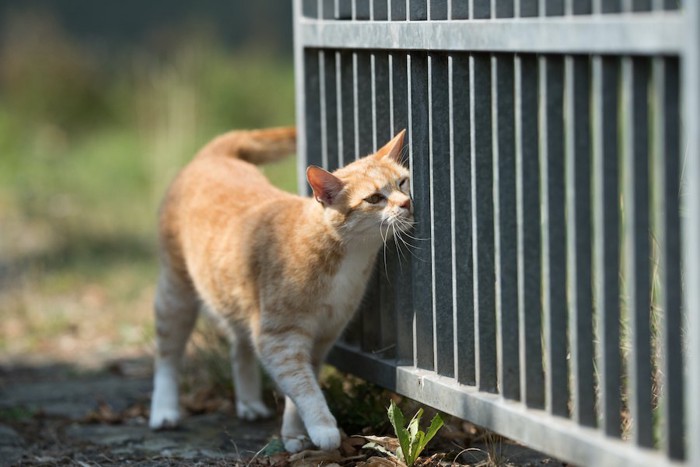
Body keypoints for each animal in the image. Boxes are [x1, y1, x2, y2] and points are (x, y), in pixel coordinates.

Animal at [148, 125, 410, 454]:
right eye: (375, 198)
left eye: (402, 182)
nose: (406, 203)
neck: (347, 255)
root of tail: (215, 154)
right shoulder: (280, 338)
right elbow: (303, 386)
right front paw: (323, 428)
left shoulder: (323, 335)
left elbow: (300, 387)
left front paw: (294, 433)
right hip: (176, 293)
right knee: (168, 355)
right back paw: (164, 411)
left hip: (239, 298)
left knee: (239, 345)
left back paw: (248, 403)